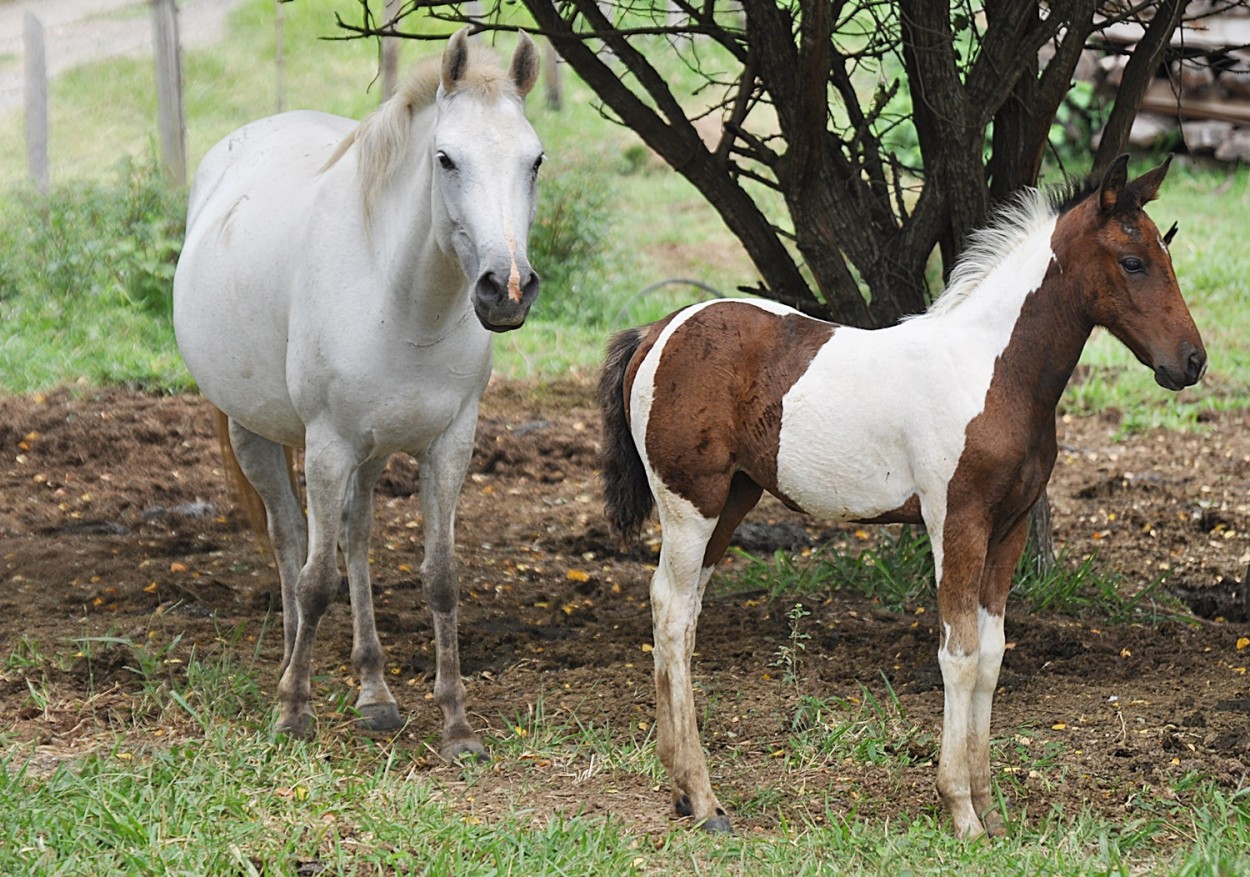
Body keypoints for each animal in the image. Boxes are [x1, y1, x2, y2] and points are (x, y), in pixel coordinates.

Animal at [175, 29, 542, 764]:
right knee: (293, 541)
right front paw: (293, 711)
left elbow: (440, 576)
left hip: (372, 456)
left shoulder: (449, 444)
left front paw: (457, 725)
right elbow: (316, 578)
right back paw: (295, 666)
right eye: (445, 158)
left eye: (535, 160)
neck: (402, 301)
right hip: (258, 433)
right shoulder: (328, 445)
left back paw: (374, 692)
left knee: (357, 538)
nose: (506, 289)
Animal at [600, 156, 1205, 839]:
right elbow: (958, 654)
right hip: (690, 503)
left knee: (683, 611)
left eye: (1166, 248)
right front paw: (960, 812)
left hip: (733, 501)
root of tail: (658, 332)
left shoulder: (1010, 528)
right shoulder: (956, 522)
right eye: (1132, 261)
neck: (990, 370)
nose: (1192, 361)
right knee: (672, 613)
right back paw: (705, 801)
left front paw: (990, 809)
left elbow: (991, 655)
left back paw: (681, 787)